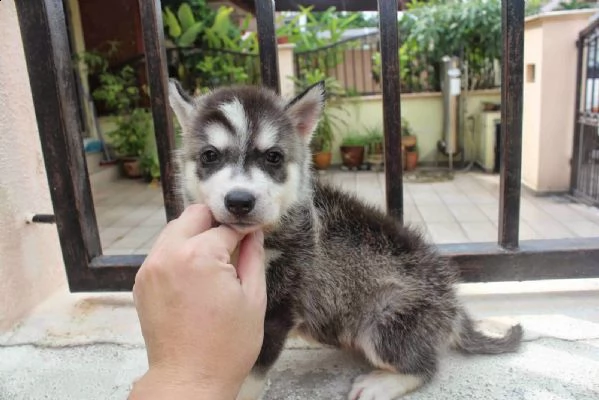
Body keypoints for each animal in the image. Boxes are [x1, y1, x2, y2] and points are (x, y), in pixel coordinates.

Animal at [166, 79, 524, 400]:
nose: (240, 201)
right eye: (210, 155)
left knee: (426, 367)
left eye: (273, 157)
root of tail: (451, 302)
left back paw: (384, 383)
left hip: (383, 320)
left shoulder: (279, 306)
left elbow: (253, 370)